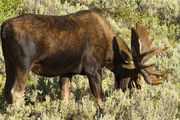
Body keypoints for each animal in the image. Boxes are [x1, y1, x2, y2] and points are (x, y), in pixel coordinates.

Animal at [0, 9, 169, 107]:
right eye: (134, 74)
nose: (135, 92)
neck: (110, 54)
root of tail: (4, 27)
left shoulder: (67, 72)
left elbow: (65, 99)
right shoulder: (93, 70)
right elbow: (100, 101)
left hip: (9, 63)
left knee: (6, 91)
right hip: (23, 65)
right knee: (15, 92)